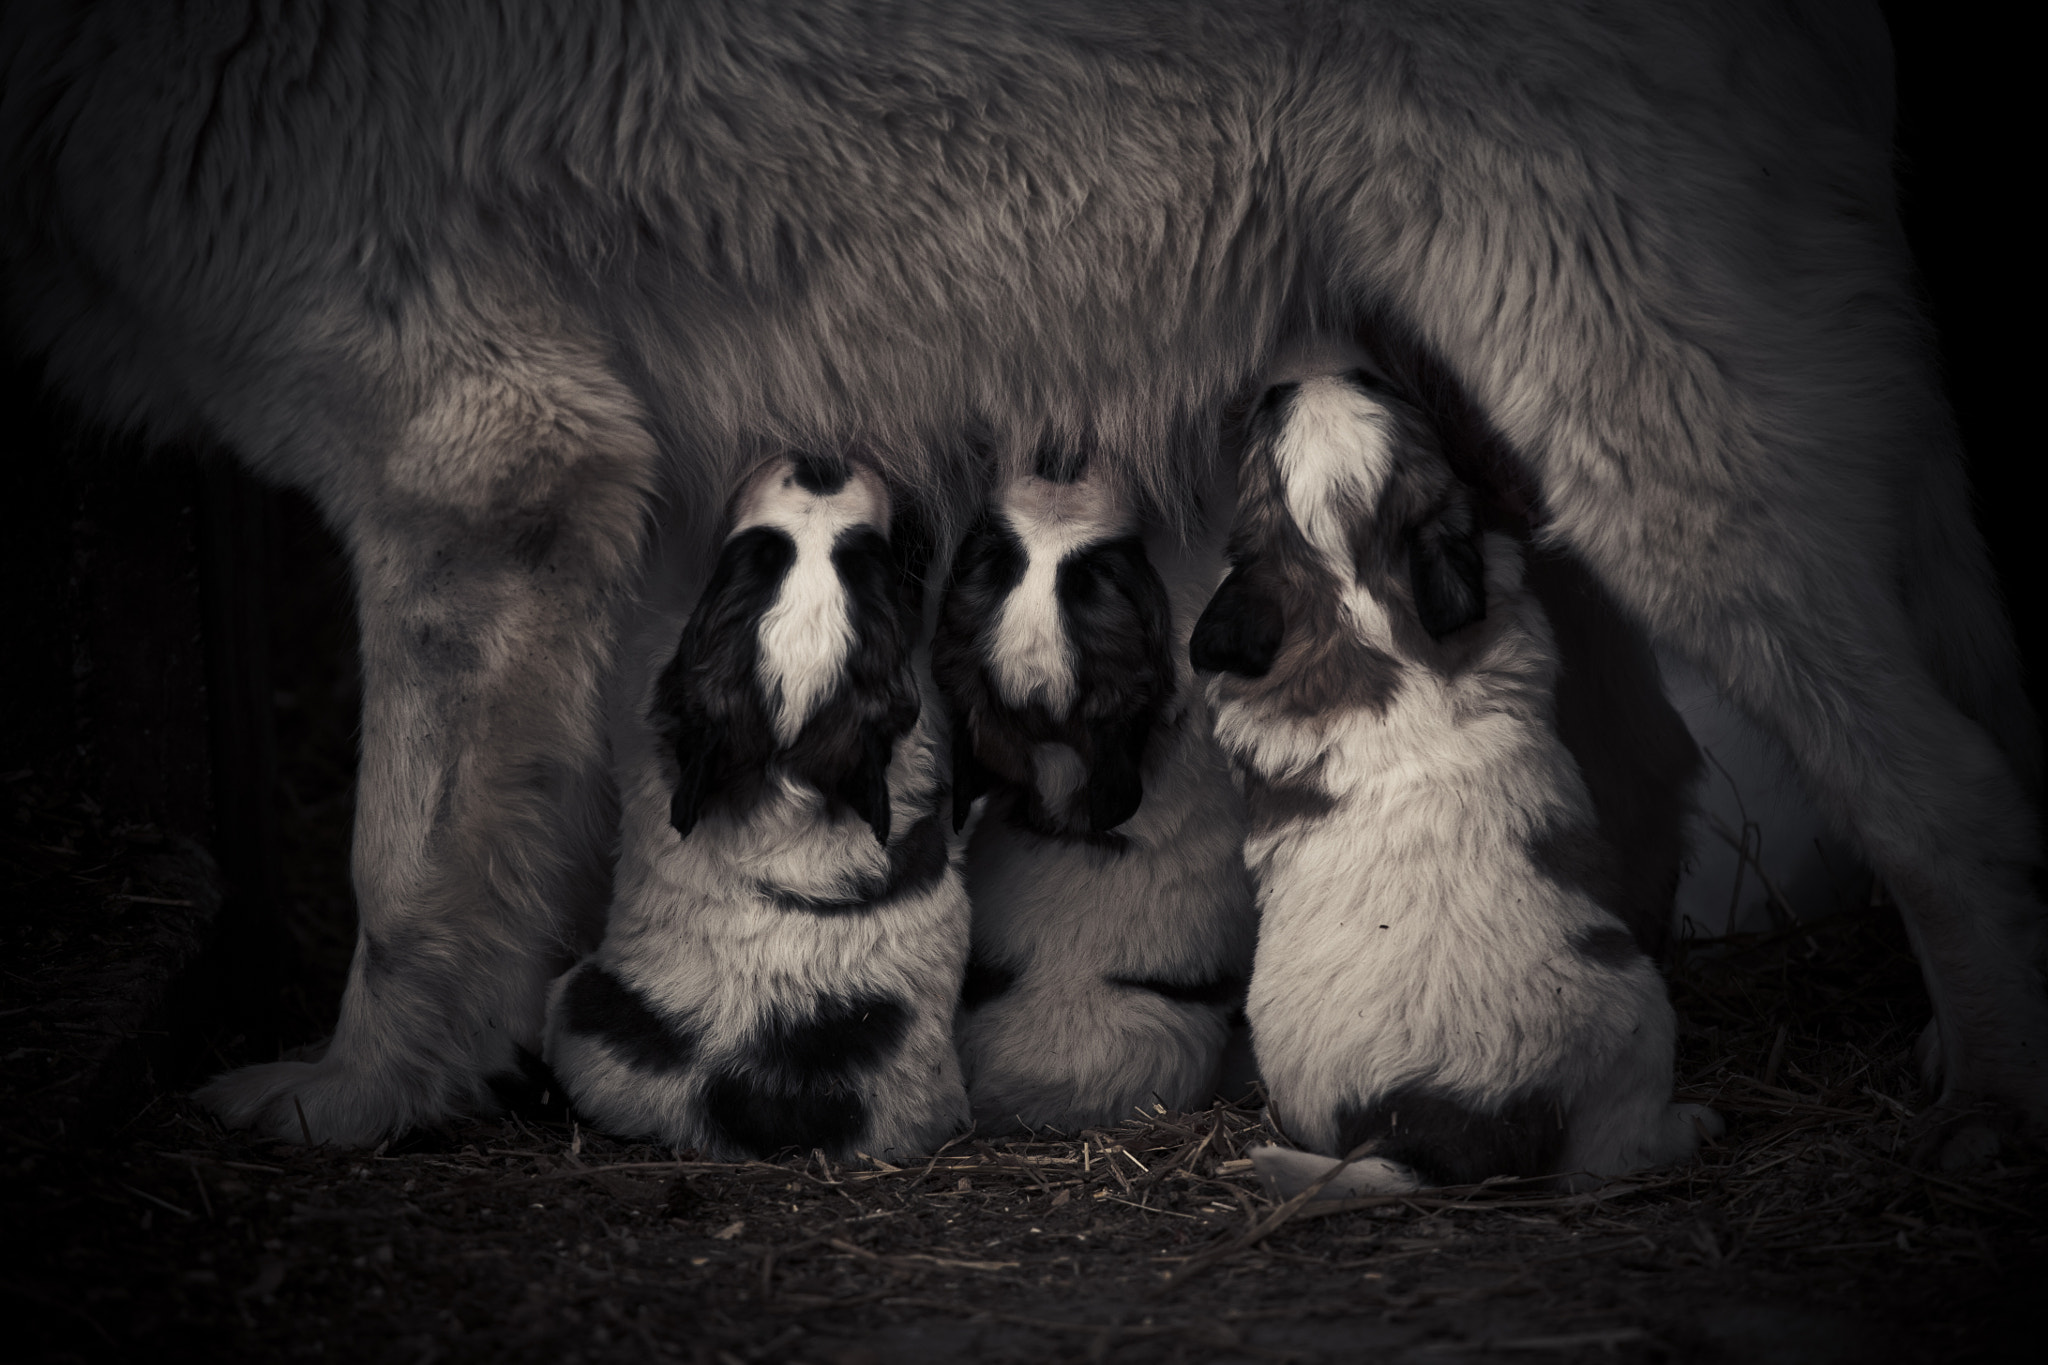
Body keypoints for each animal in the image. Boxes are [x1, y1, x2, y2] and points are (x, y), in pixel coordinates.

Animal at [1196, 370, 1720, 1195]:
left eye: (1367, 383)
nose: (1298, 376)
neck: (1355, 591)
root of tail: (1432, 1130)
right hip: (1639, 1031)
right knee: (1613, 1153)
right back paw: (1693, 1123)